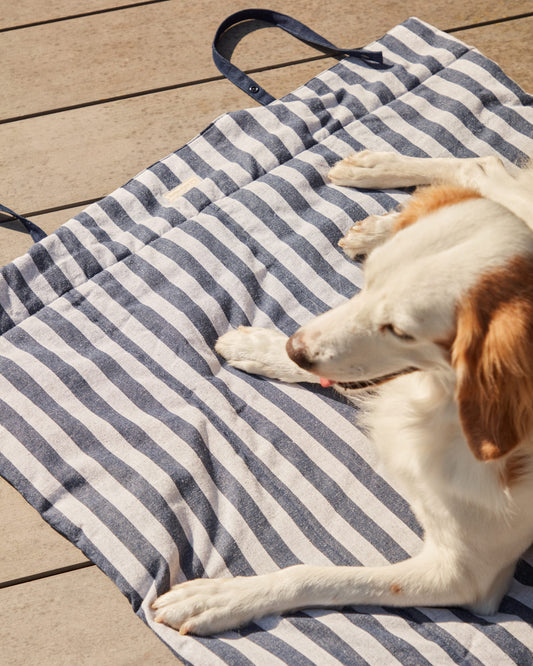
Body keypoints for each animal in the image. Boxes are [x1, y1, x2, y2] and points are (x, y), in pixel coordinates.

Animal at [150, 150, 532, 632]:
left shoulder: (465, 575)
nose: (295, 350)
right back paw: (377, 188)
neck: (439, 407)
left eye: (400, 331)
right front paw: (262, 348)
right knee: (485, 167)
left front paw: (223, 596)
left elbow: (316, 575)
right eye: (365, 284)